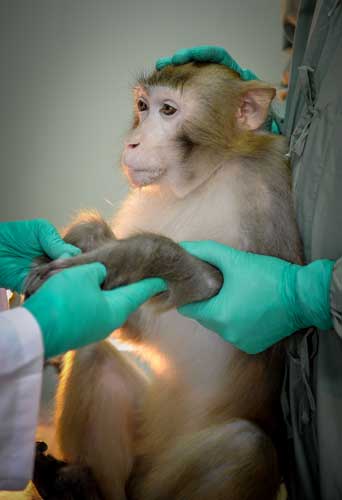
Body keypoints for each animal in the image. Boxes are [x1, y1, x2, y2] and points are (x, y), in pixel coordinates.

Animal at [28, 62, 304, 500]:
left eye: (169, 110)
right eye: (143, 106)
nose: (132, 142)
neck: (206, 180)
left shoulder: (269, 193)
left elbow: (251, 305)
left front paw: (126, 256)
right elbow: (135, 325)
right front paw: (83, 238)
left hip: (163, 479)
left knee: (247, 448)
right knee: (93, 351)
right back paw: (81, 484)